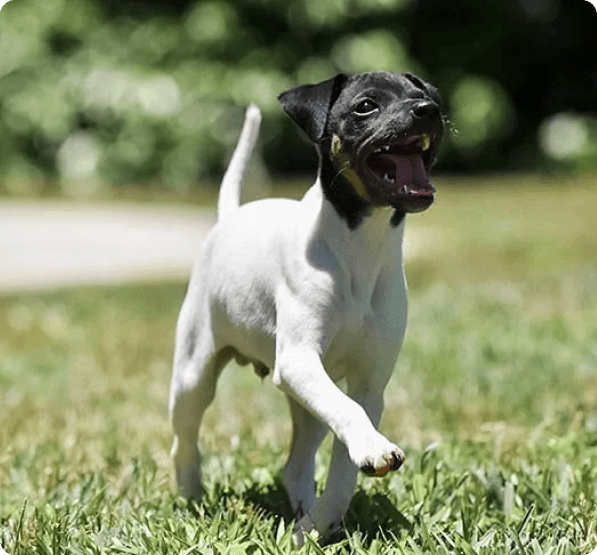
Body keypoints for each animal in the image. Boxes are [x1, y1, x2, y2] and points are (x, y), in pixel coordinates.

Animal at [168, 71, 442, 544]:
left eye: (423, 94)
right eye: (365, 105)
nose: (430, 110)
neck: (358, 248)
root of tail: (229, 217)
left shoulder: (369, 384)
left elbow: (344, 461)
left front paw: (321, 523)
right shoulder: (298, 360)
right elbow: (347, 412)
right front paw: (372, 448)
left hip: (309, 395)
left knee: (296, 462)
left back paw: (303, 513)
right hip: (193, 374)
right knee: (183, 437)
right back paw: (191, 496)